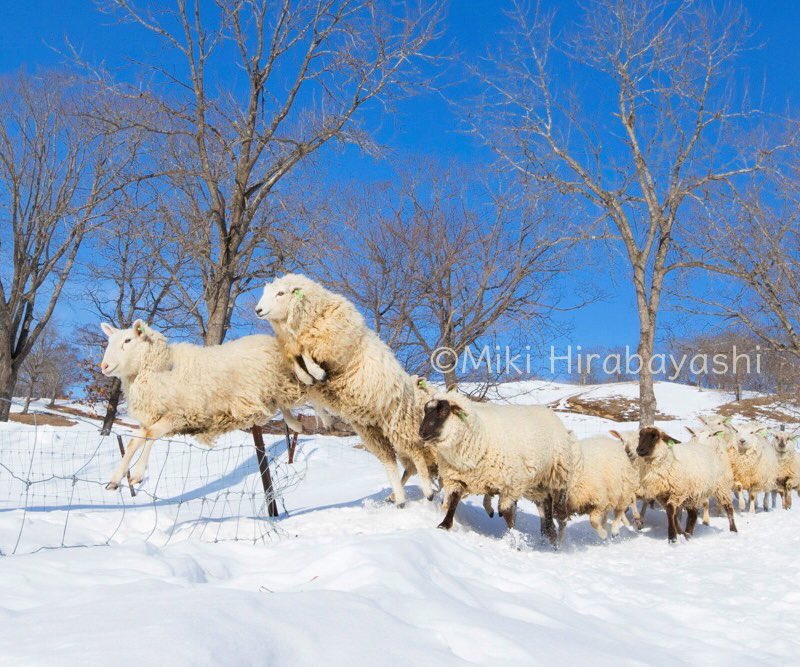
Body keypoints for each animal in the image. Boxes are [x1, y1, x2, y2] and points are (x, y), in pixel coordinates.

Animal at [99, 320, 322, 490]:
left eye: (128, 340)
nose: (104, 366)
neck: (160, 369)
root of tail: (269, 339)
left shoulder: (180, 415)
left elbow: (150, 435)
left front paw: (137, 474)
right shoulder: (153, 417)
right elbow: (134, 442)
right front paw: (115, 479)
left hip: (282, 381)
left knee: (304, 395)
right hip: (270, 389)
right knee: (283, 404)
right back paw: (296, 424)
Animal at [255, 274, 437, 507]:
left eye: (281, 293)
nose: (258, 310)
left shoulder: (334, 348)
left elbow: (306, 351)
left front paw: (315, 371)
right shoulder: (293, 350)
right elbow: (298, 359)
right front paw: (308, 377)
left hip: (399, 423)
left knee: (417, 454)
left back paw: (428, 491)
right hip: (371, 430)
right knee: (390, 462)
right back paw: (399, 498)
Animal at [418, 392, 571, 545]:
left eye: (444, 411)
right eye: (425, 410)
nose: (422, 433)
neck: (478, 433)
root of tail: (547, 411)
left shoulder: (511, 484)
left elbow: (507, 513)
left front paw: (513, 539)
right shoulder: (458, 477)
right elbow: (454, 500)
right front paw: (445, 524)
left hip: (553, 476)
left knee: (552, 507)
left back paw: (552, 536)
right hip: (534, 484)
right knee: (545, 501)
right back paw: (548, 532)